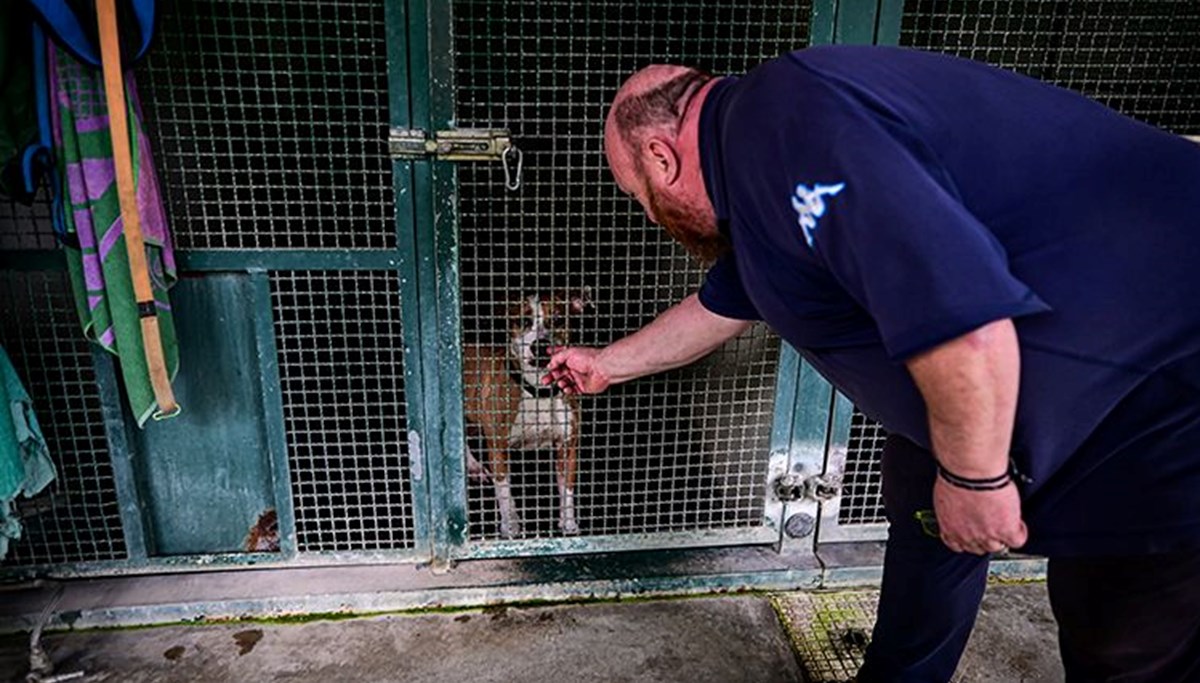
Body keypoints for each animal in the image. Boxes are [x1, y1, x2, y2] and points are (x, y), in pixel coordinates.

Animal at [460, 288, 592, 537]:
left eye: (557, 320)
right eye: (523, 321)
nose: (540, 345)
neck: (539, 392)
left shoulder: (568, 446)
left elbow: (567, 489)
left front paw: (568, 523)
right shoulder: (498, 447)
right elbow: (504, 491)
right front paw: (510, 525)